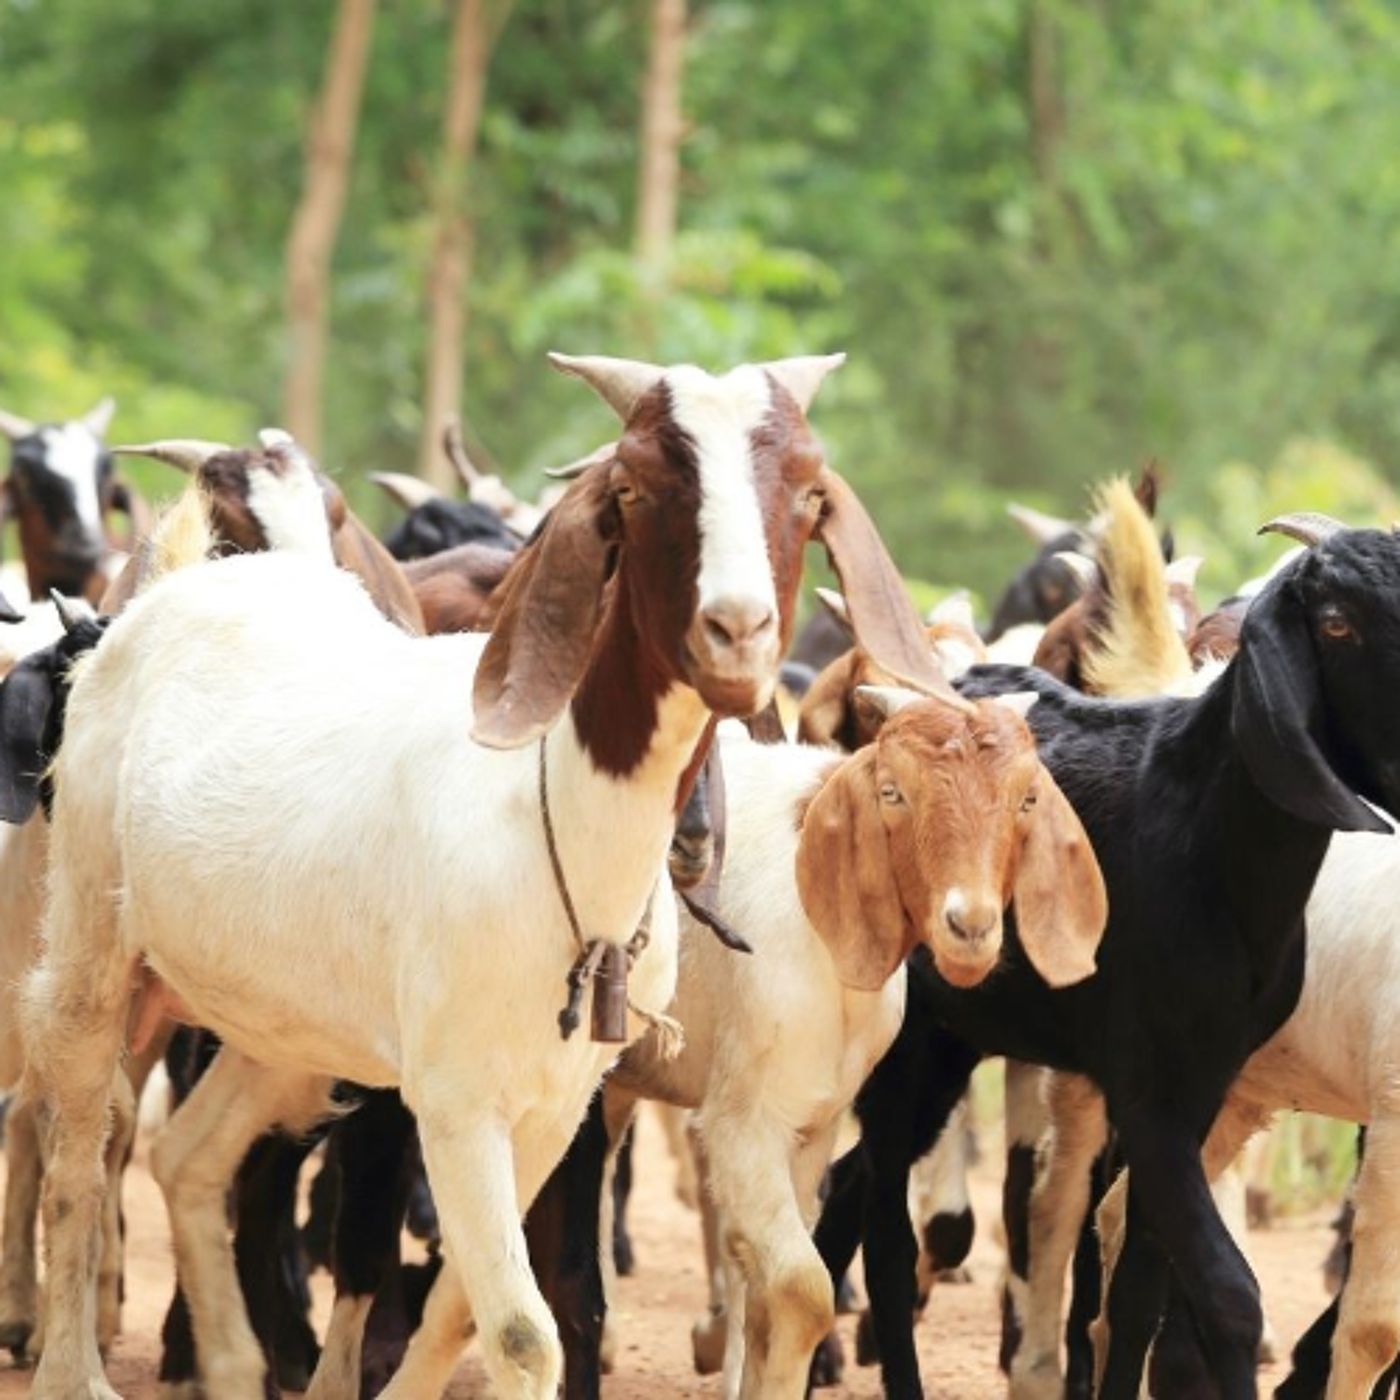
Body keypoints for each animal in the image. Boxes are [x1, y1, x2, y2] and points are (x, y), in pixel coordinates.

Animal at [16, 352, 958, 1400]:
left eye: (805, 492)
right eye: (635, 485)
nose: (738, 631)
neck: (558, 831)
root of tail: (170, 593)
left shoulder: (557, 1104)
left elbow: (467, 1302)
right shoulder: (457, 1101)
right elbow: (518, 1329)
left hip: (281, 1023)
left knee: (188, 1156)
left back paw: (229, 1362)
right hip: (91, 946)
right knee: (77, 1153)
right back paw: (72, 1369)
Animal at [813, 514, 1400, 1399]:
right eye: (1335, 621)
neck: (1202, 834)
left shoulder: (1204, 1087)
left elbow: (1139, 1285)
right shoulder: (1146, 1090)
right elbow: (1233, 1293)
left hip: (956, 1042)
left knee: (852, 1191)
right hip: (906, 1045)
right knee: (892, 1227)